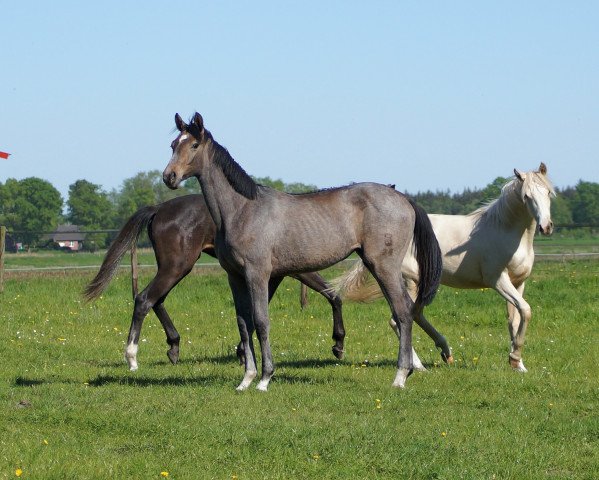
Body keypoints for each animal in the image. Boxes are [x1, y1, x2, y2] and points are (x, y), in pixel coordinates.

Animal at [84, 194, 346, 372]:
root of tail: (159, 208)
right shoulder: (294, 272)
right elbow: (333, 295)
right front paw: (338, 344)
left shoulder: (270, 275)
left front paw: (242, 352)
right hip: (177, 266)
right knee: (144, 299)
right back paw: (133, 358)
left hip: (173, 268)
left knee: (157, 300)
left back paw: (174, 346)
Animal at [162, 112, 442, 390]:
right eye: (173, 145)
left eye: (194, 145)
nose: (169, 176)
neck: (242, 210)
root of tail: (404, 199)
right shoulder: (235, 277)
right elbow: (243, 324)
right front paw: (246, 379)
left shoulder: (257, 274)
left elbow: (261, 322)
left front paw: (265, 378)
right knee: (405, 309)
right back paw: (409, 370)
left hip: (384, 266)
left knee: (403, 312)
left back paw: (400, 376)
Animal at [336, 164, 556, 372]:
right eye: (527, 196)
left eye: (547, 192)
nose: (546, 227)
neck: (504, 230)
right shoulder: (498, 281)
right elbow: (526, 310)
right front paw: (515, 358)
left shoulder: (518, 282)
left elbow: (515, 320)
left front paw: (518, 365)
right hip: (410, 282)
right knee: (400, 319)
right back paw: (419, 365)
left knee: (414, 315)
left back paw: (445, 352)